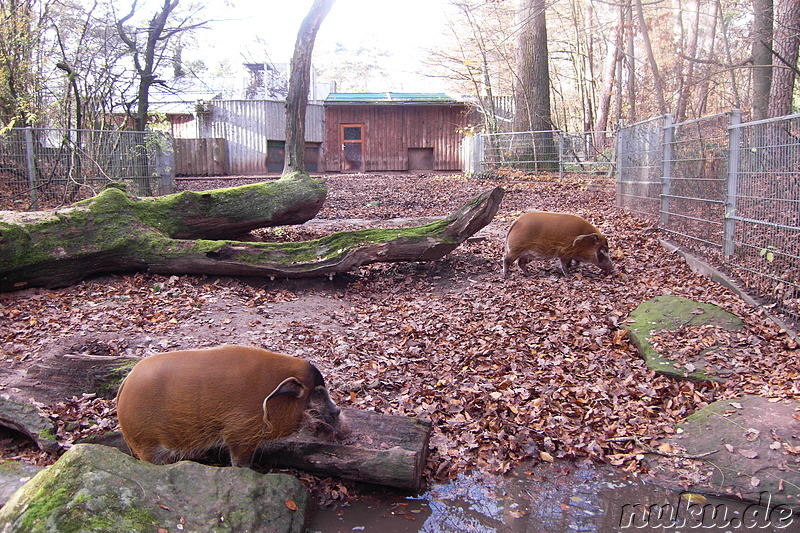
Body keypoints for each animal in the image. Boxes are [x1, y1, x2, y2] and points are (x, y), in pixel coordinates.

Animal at [115, 344, 340, 466]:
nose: (338, 411)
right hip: (146, 445)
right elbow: (241, 464)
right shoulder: (240, 435)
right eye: (318, 392)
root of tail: (125, 384)